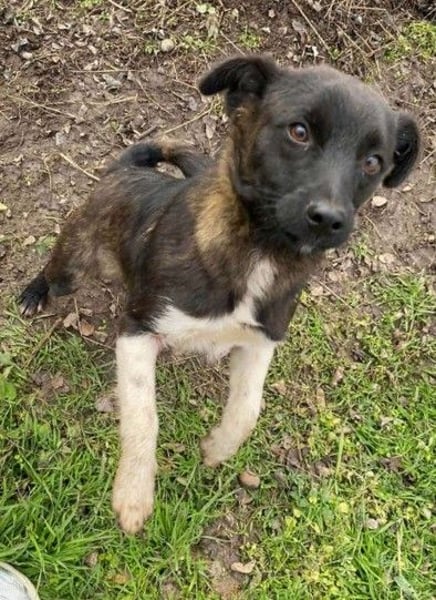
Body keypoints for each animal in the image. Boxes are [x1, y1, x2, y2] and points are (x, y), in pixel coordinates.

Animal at [19, 55, 420, 534]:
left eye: (373, 162)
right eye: (298, 132)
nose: (329, 219)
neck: (259, 250)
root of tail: (128, 167)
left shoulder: (260, 341)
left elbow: (248, 409)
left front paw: (216, 448)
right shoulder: (137, 329)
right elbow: (143, 416)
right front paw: (133, 493)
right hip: (76, 263)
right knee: (54, 270)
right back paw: (34, 292)